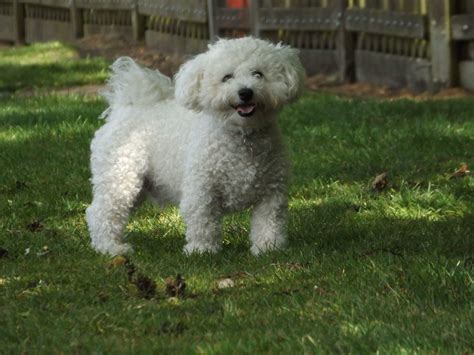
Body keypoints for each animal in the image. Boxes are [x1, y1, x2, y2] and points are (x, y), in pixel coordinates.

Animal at [86, 36, 306, 256]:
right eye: (227, 77)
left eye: (258, 74)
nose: (245, 92)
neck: (242, 135)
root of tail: (127, 106)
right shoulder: (201, 189)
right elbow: (203, 220)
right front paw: (202, 250)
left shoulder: (271, 193)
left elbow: (269, 222)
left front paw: (269, 248)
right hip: (120, 176)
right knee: (102, 212)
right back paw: (110, 247)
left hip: (139, 185)